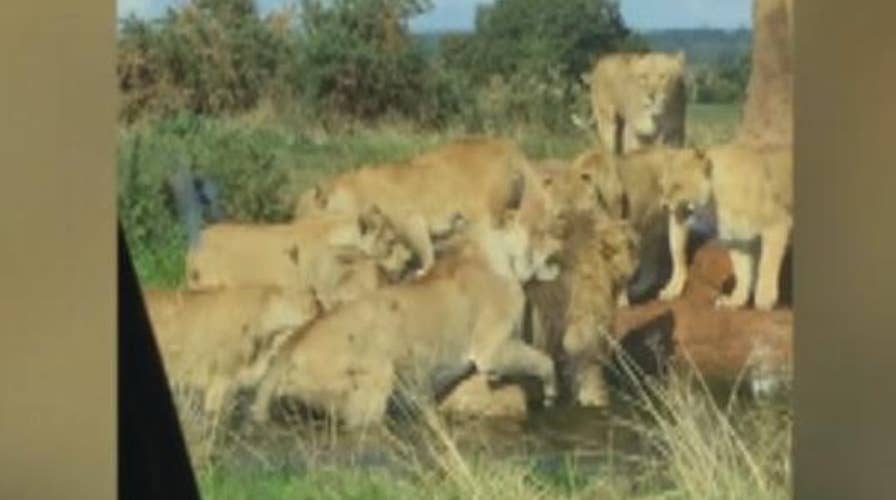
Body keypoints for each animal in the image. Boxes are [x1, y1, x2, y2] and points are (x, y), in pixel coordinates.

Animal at [250, 208, 564, 429]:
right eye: (540, 231)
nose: (560, 241)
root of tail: (292, 344)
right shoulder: (492, 349)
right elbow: (544, 361)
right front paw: (551, 395)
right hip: (375, 384)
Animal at [294, 137, 559, 277]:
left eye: (304, 214)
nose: (293, 225)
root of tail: (507, 144)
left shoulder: (412, 220)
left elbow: (426, 252)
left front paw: (422, 271)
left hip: (486, 212)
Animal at [657, 143, 793, 310]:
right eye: (661, 187)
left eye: (677, 186)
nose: (663, 206)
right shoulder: (738, 239)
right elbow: (742, 272)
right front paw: (736, 300)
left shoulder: (776, 223)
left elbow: (767, 264)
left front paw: (765, 298)